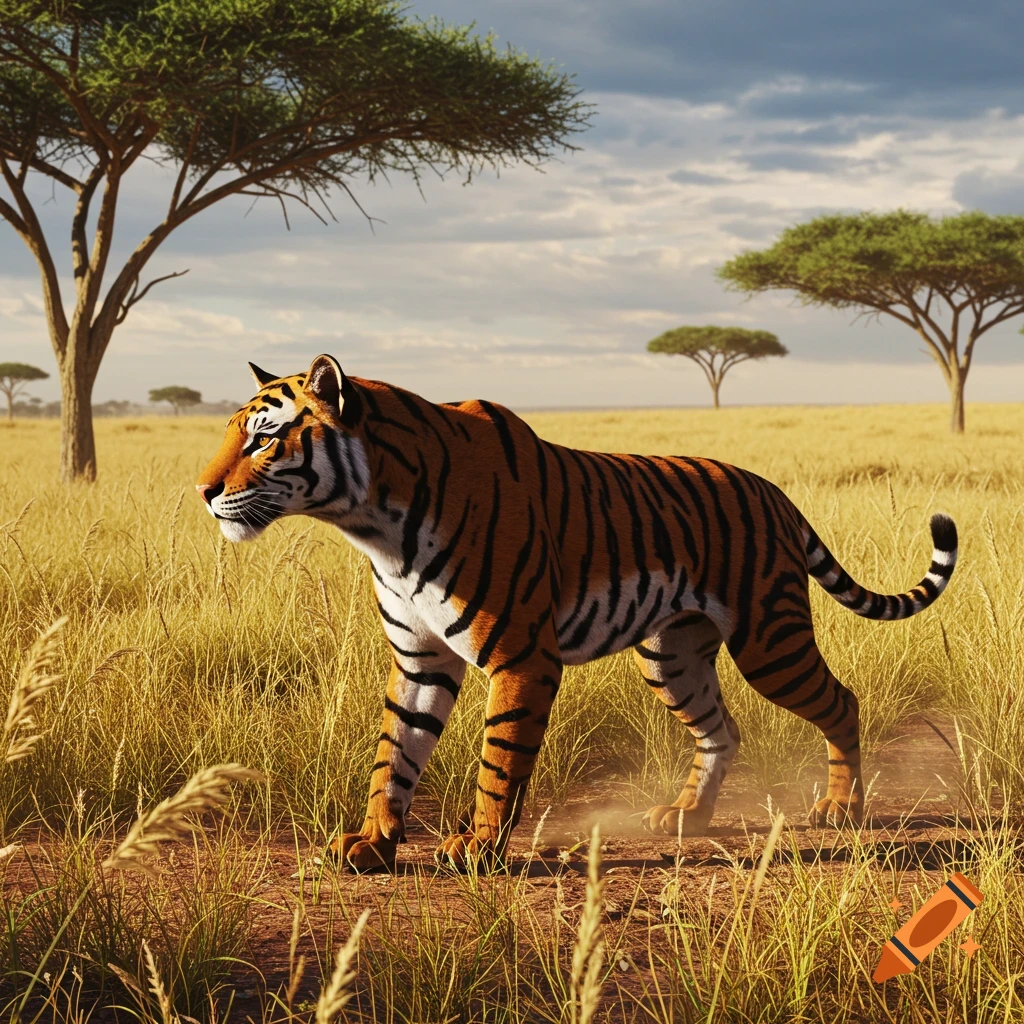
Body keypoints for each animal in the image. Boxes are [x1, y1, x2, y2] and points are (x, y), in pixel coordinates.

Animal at [196, 354, 958, 872]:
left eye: (263, 439)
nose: (203, 491)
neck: (370, 520)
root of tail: (771, 489)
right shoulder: (419, 658)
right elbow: (395, 754)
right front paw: (373, 842)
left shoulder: (520, 656)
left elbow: (498, 760)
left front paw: (477, 847)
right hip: (672, 656)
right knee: (723, 729)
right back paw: (687, 815)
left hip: (769, 640)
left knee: (840, 702)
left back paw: (841, 808)